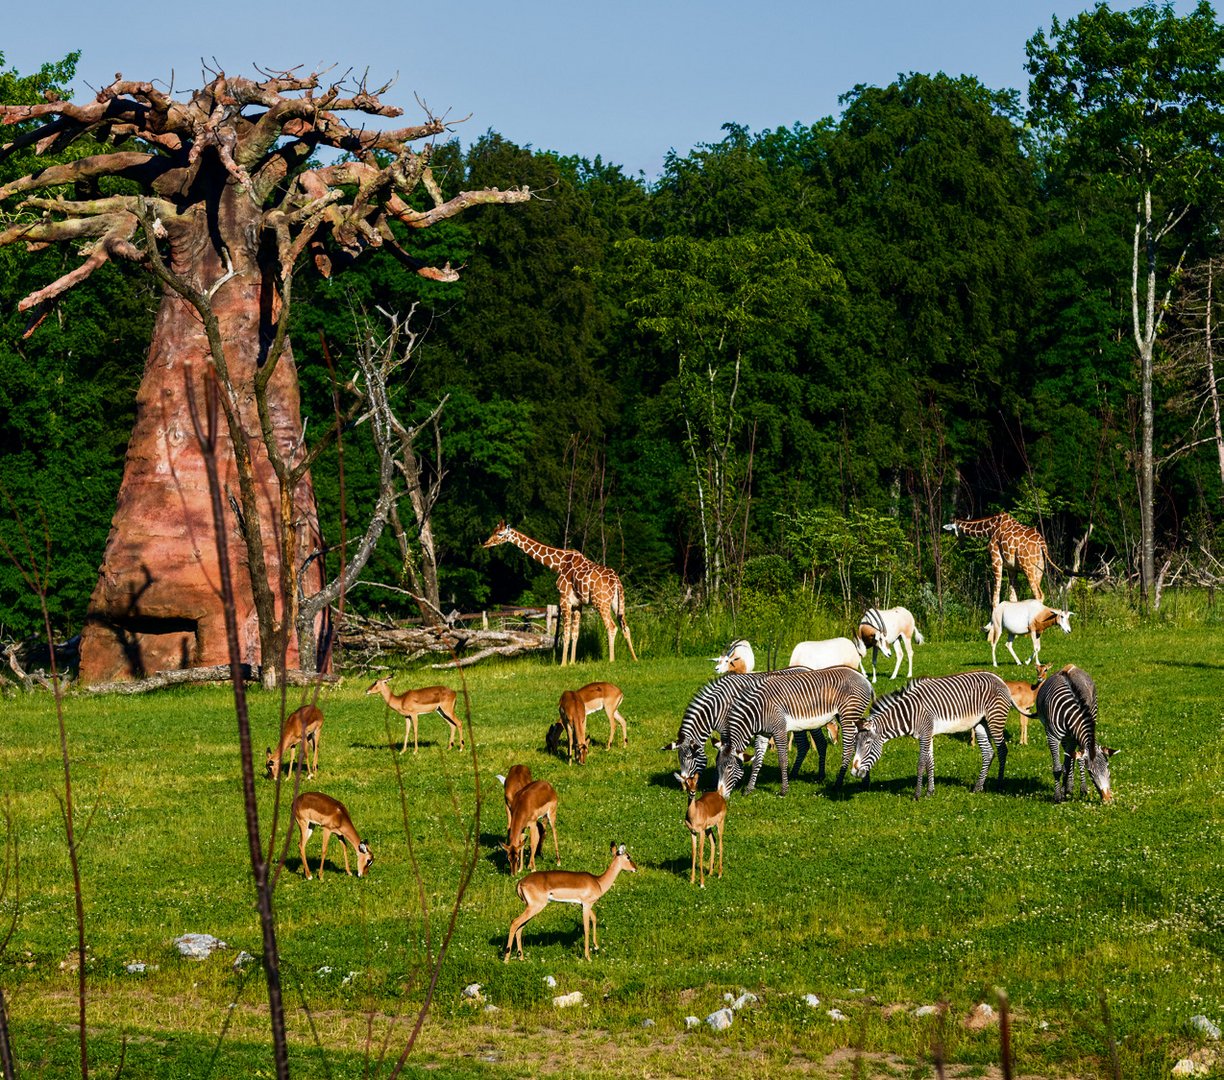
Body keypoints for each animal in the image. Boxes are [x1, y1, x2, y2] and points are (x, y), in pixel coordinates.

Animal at [714, 666, 874, 796]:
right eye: (717, 767)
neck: (758, 711)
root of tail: (865, 679)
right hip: (848, 717)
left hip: (848, 716)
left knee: (848, 749)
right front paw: (749, 789)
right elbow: (757, 760)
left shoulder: (779, 730)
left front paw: (784, 790)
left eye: (729, 767)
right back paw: (865, 782)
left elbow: (783, 760)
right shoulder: (763, 734)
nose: (720, 796)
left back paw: (838, 784)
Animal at [849, 671, 1012, 798]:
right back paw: (977, 788)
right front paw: (930, 792)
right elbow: (930, 763)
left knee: (1002, 750)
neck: (909, 714)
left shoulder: (925, 734)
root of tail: (998, 678)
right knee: (988, 753)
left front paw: (917, 794)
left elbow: (921, 763)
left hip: (995, 719)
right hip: (980, 723)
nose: (853, 772)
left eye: (868, 743)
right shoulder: (927, 734)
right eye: (855, 743)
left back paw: (999, 785)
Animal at [1035, 664, 1116, 803]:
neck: (1070, 713)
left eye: (1108, 768)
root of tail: (1070, 666)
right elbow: (1058, 768)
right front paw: (1058, 796)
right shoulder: (1052, 736)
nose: (1107, 799)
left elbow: (1069, 764)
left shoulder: (1073, 737)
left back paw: (1078, 788)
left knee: (1076, 759)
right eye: (1091, 773)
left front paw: (1065, 792)